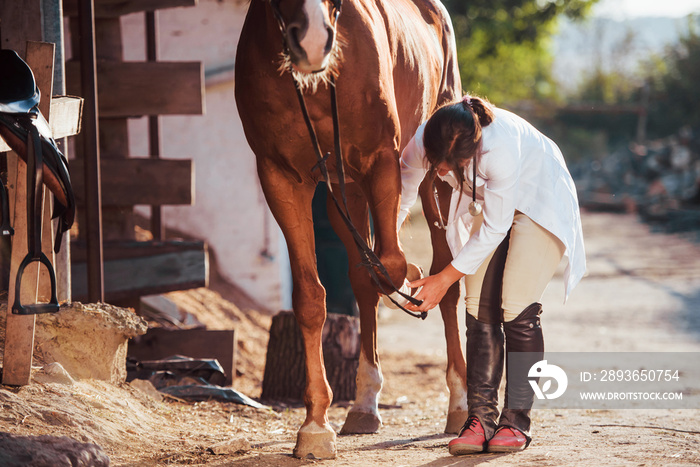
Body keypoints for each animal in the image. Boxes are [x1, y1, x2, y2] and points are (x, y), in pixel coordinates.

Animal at [235, 0, 464, 460]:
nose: (311, 40)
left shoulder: (381, 160)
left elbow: (391, 263)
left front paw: (408, 279)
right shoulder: (282, 179)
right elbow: (312, 297)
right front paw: (314, 426)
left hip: (435, 177)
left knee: (443, 278)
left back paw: (460, 403)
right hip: (347, 190)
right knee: (363, 280)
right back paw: (364, 406)